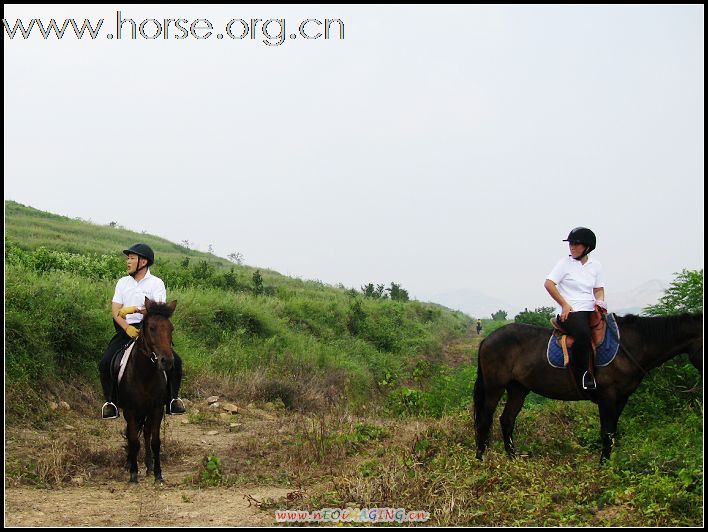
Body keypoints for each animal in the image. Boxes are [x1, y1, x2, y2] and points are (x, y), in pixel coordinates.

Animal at [116, 298, 177, 484]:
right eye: (152, 328)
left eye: (171, 329)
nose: (167, 361)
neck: (144, 374)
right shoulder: (130, 409)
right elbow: (134, 441)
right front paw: (133, 475)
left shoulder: (157, 408)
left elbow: (155, 441)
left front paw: (158, 474)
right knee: (133, 434)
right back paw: (129, 463)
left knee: (147, 433)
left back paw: (149, 465)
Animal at [476, 314, 704, 464]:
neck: (629, 346)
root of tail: (487, 339)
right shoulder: (607, 396)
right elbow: (607, 432)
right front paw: (603, 465)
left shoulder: (622, 398)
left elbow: (612, 432)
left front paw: (608, 463)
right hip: (494, 387)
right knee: (485, 420)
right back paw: (480, 458)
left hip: (518, 388)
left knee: (507, 420)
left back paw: (513, 458)